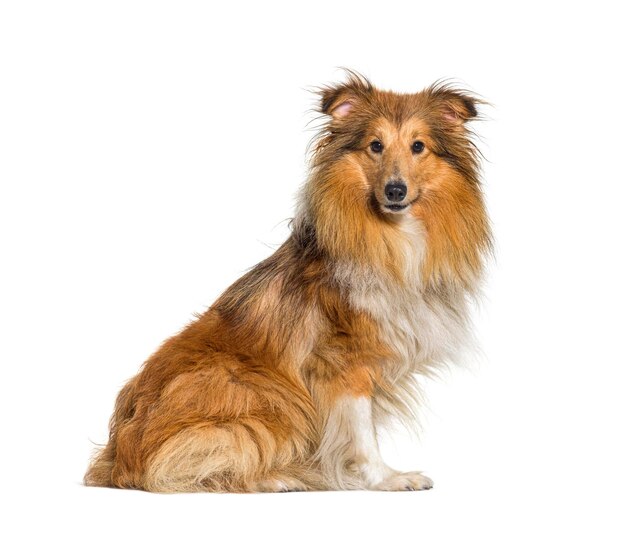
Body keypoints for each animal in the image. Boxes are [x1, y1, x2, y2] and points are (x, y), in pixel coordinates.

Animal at [84, 72, 492, 494]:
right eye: (375, 146)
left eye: (418, 146)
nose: (395, 190)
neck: (392, 236)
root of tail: (119, 459)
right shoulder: (344, 363)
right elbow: (362, 432)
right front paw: (387, 478)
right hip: (255, 387)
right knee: (182, 466)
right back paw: (278, 478)